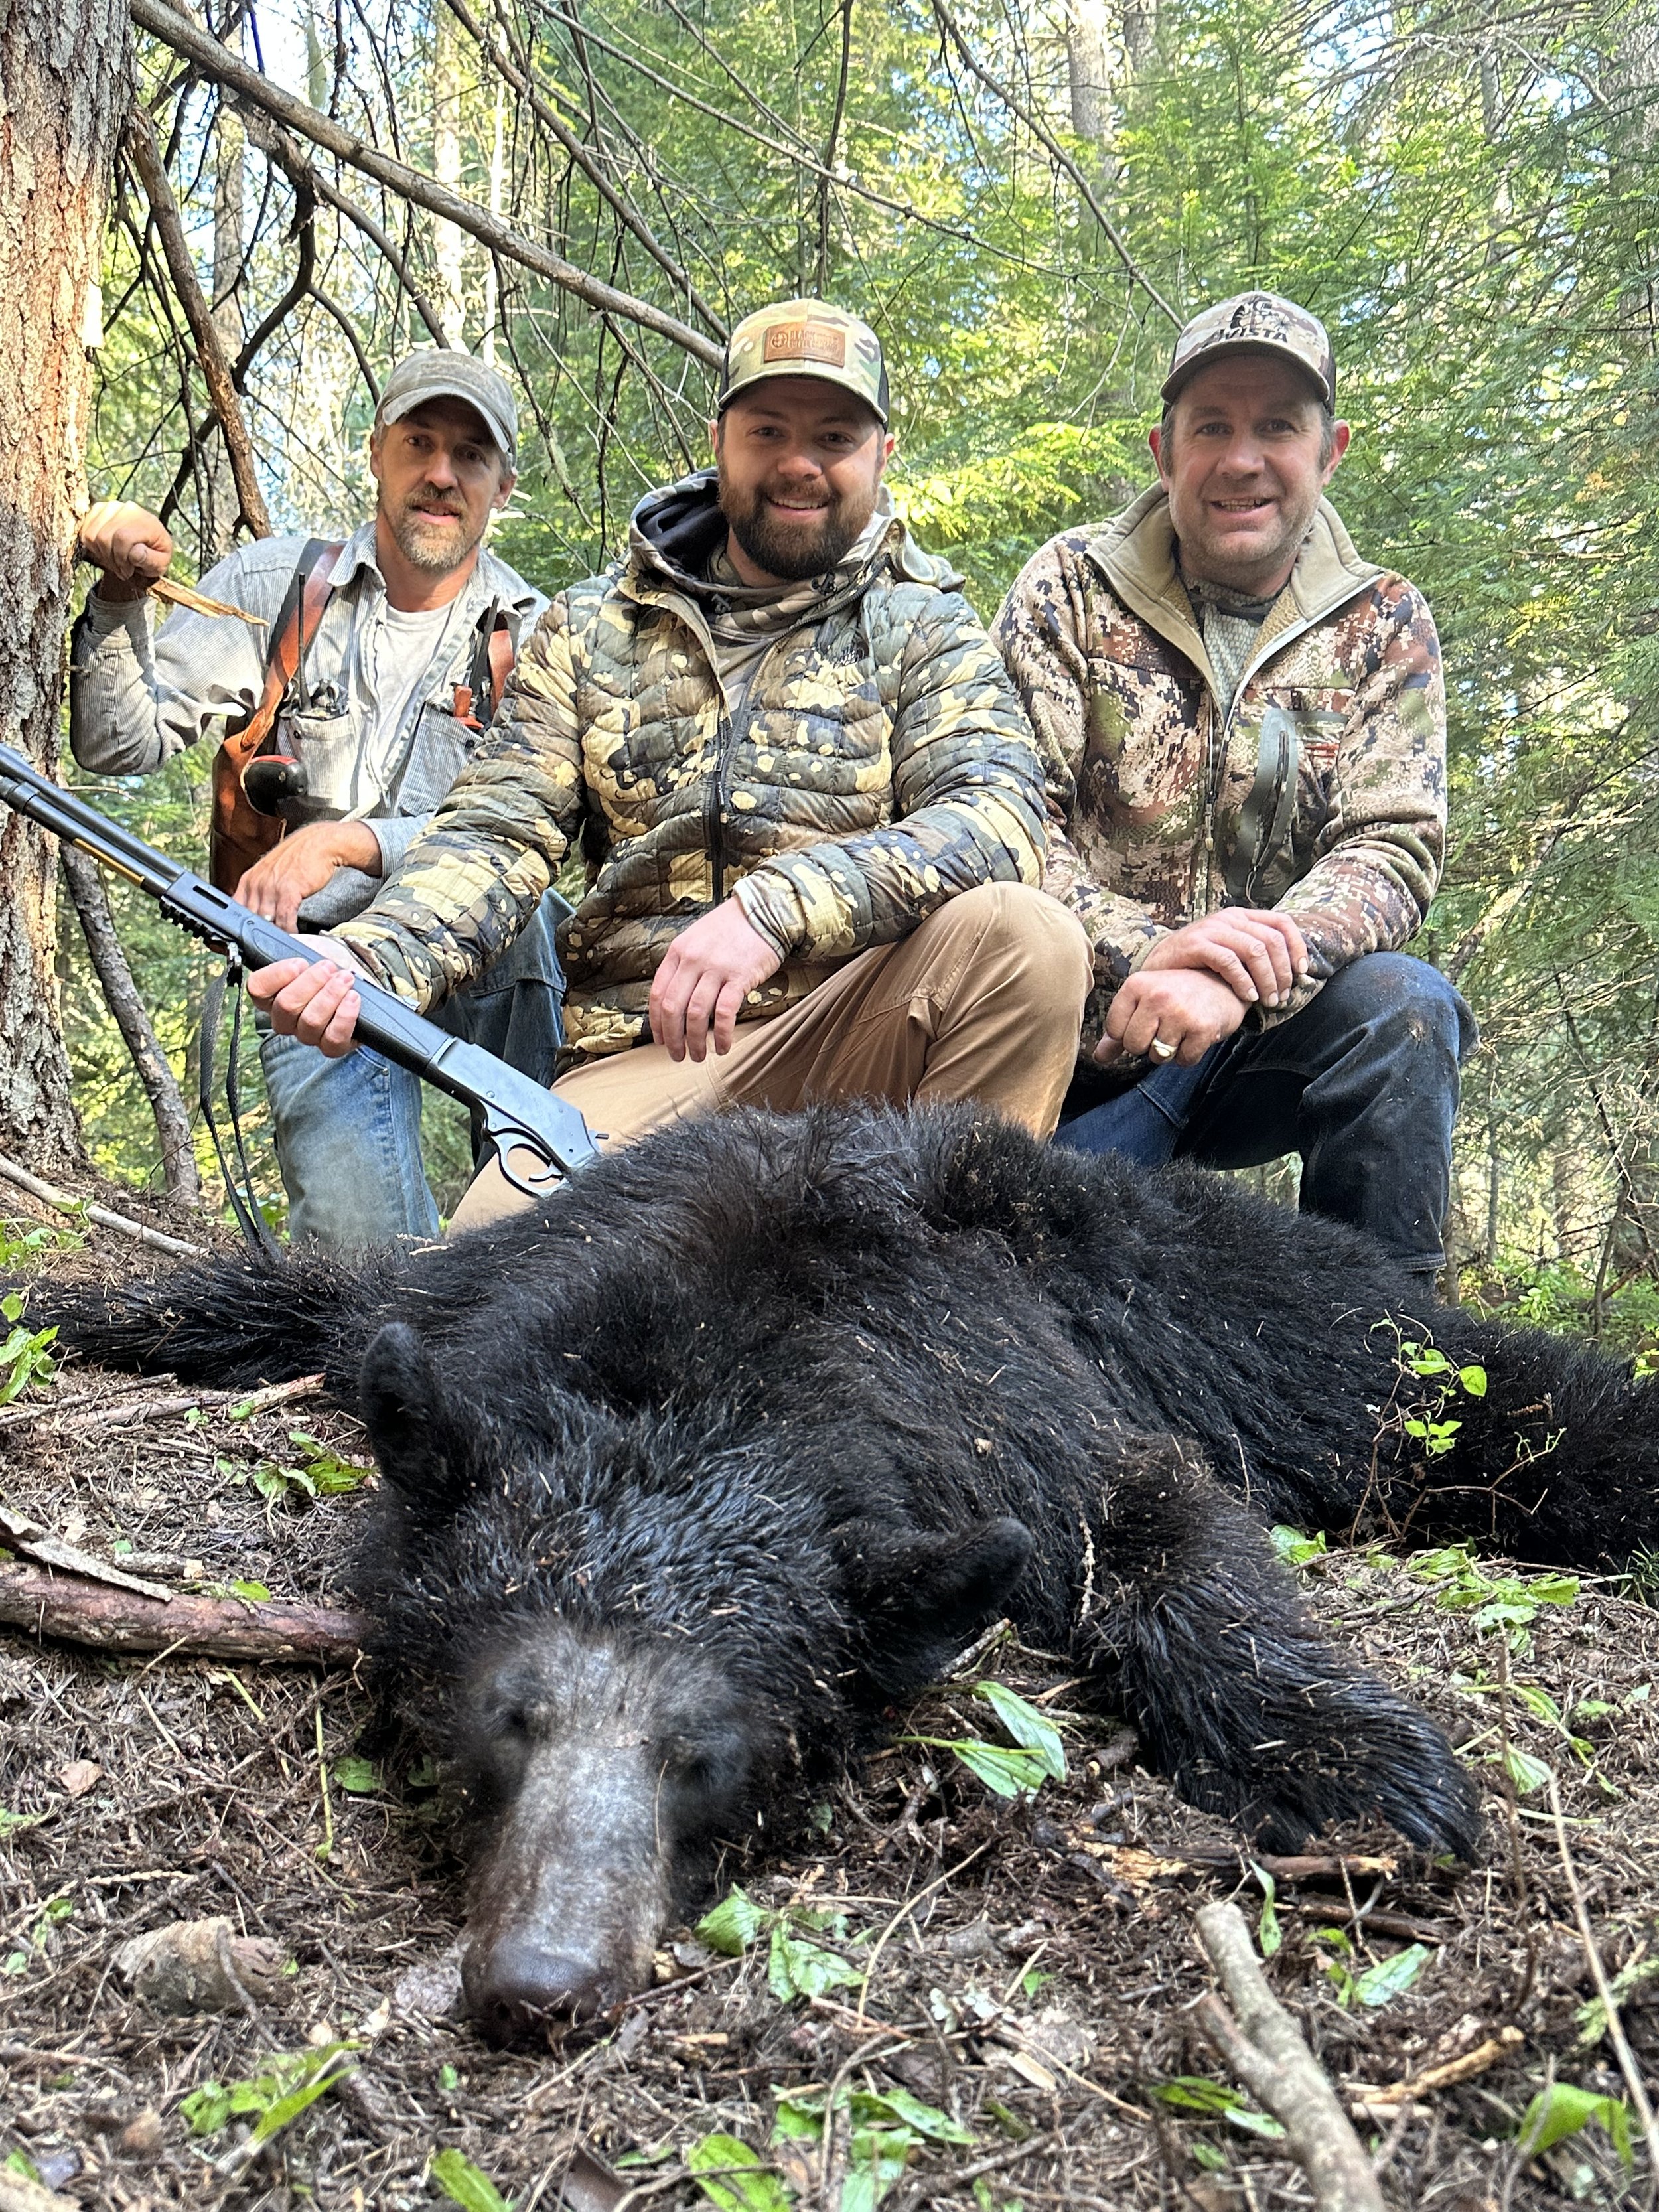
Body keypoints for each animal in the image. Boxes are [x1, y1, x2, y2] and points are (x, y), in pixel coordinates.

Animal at [28, 1102, 1657, 2043]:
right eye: (503, 1715)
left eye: (705, 1752)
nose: (545, 1977)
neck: (709, 1367)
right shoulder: (474, 1294)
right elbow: (325, 1293)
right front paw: (86, 1301)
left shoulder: (1014, 1405)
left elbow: (1159, 1525)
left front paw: (1356, 1762)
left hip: (1265, 1315)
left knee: (1485, 1400)